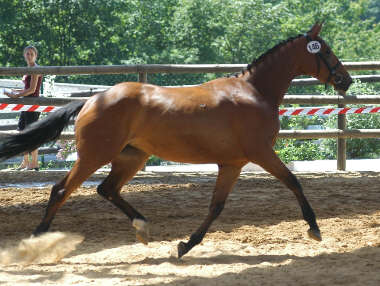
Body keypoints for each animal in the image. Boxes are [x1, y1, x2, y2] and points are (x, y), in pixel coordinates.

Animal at [0, 23, 350, 258]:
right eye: (326, 51)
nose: (345, 80)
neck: (255, 92)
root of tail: (93, 99)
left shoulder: (232, 163)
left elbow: (216, 206)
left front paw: (185, 245)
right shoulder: (261, 152)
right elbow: (293, 182)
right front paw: (314, 229)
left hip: (132, 156)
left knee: (107, 189)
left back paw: (142, 227)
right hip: (95, 155)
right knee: (61, 190)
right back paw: (36, 240)